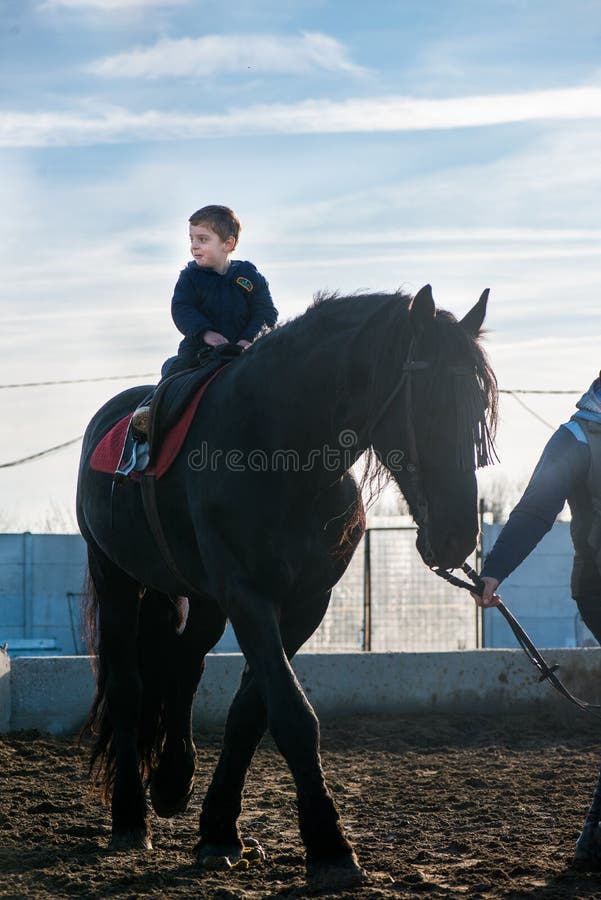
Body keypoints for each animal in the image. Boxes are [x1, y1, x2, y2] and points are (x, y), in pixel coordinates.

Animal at [76, 283, 497, 889]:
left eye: (479, 408)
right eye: (432, 402)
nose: (458, 535)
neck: (282, 451)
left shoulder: (304, 605)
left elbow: (252, 711)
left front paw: (219, 830)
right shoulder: (249, 598)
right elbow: (293, 715)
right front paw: (329, 846)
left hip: (201, 600)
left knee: (181, 663)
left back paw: (175, 779)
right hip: (116, 576)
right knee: (129, 687)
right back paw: (132, 816)